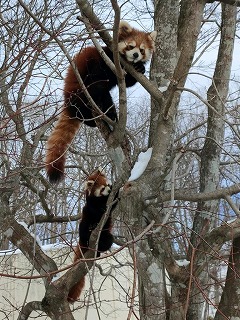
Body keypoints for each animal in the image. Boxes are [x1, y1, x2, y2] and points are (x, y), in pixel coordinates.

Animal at [45, 20, 157, 182]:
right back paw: (102, 115)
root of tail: (67, 100)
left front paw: (140, 67)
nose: (135, 55)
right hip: (79, 88)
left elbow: (128, 81)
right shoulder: (105, 59)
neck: (122, 63)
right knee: (94, 94)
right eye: (131, 46)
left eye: (142, 50)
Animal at [67, 169, 117, 304]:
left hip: (105, 234)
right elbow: (94, 209)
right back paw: (88, 235)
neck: (101, 200)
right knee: (84, 228)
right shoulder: (89, 204)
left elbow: (113, 205)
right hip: (84, 225)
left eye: (107, 184)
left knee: (109, 240)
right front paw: (101, 209)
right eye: (102, 188)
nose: (109, 190)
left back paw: (99, 250)